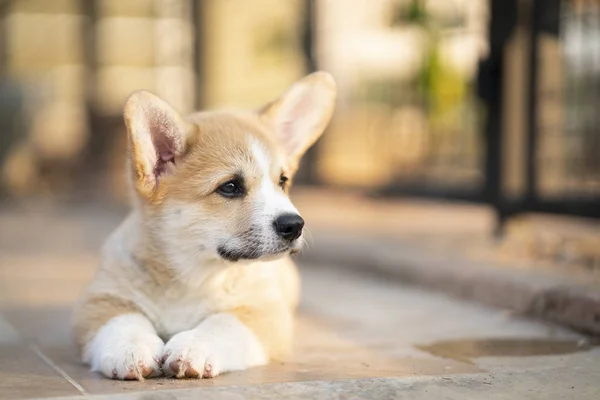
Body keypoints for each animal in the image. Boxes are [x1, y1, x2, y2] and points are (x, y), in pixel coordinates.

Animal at [71, 72, 338, 382]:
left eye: (282, 182)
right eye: (230, 187)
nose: (294, 225)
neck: (193, 275)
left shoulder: (264, 311)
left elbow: (224, 322)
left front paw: (194, 346)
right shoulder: (101, 298)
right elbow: (122, 320)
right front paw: (131, 347)